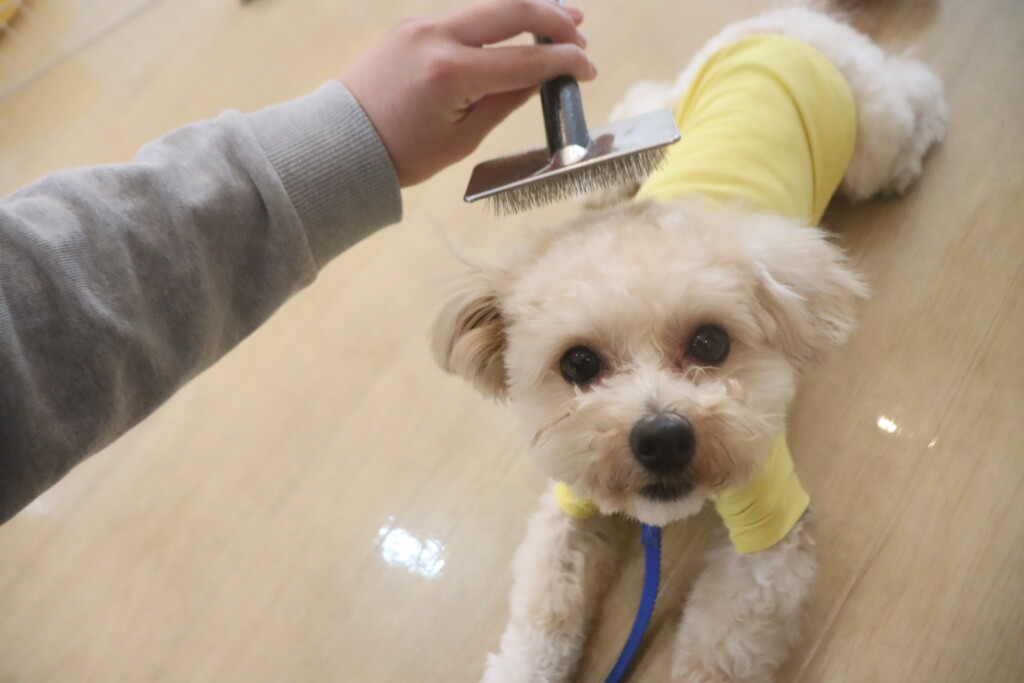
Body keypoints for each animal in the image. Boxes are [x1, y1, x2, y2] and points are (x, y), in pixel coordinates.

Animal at [432, 6, 947, 682]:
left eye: (710, 343)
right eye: (578, 363)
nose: (662, 436)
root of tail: (790, 20)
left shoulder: (771, 534)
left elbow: (718, 650)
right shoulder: (569, 506)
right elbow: (541, 619)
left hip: (871, 142)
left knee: (918, 92)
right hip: (680, 97)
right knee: (642, 104)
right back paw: (603, 183)